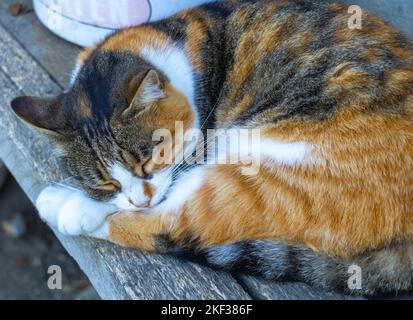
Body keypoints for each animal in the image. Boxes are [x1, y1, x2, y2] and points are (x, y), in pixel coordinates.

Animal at [8, 0, 412, 296]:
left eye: (150, 159)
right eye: (106, 182)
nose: (140, 199)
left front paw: (79, 204)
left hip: (265, 173)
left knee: (168, 227)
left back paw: (62, 205)